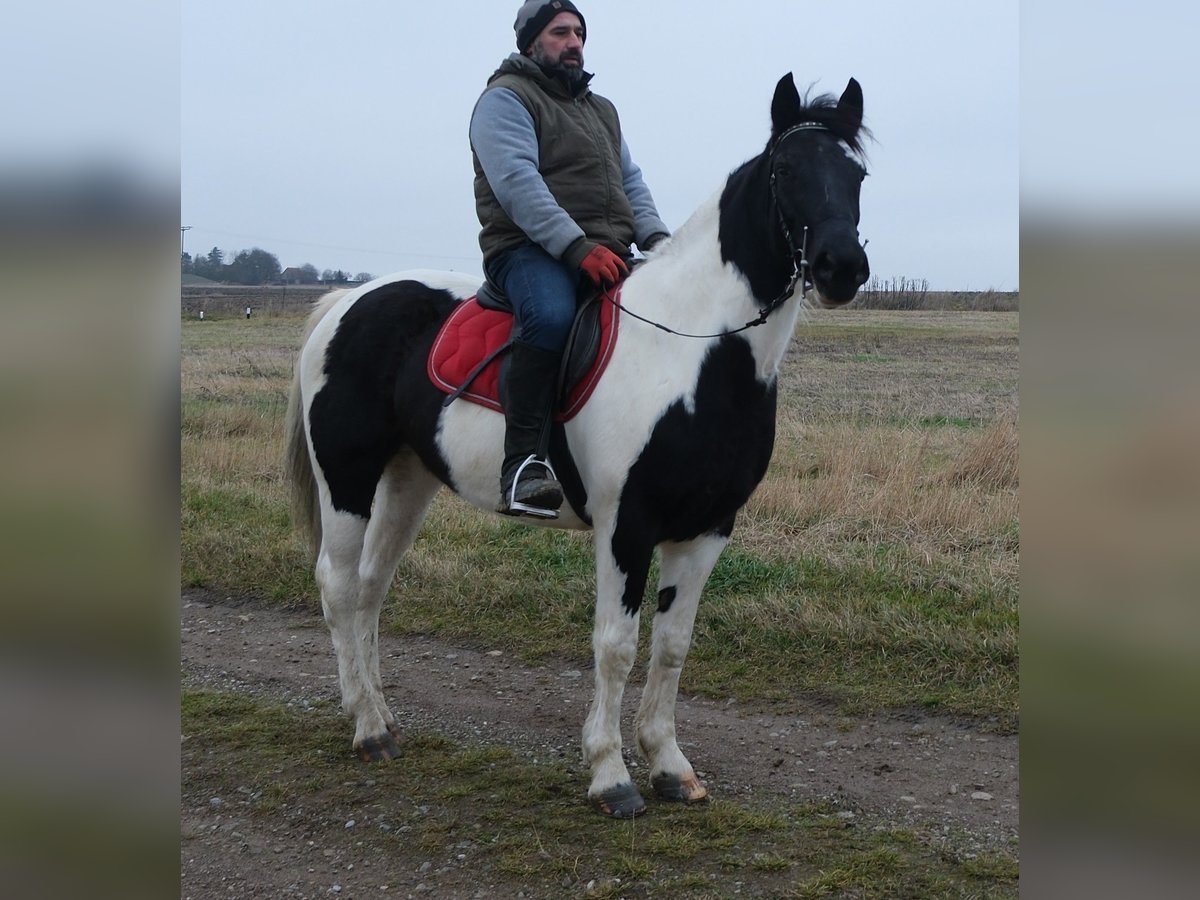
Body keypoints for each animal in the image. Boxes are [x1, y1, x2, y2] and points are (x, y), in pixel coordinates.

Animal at [284, 73, 870, 818]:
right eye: (787, 169)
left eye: (857, 174)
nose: (842, 267)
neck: (695, 349)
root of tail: (345, 301)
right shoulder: (627, 524)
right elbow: (616, 645)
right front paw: (611, 775)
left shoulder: (710, 526)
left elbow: (673, 646)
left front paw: (671, 766)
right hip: (347, 478)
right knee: (337, 586)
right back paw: (365, 727)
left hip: (408, 479)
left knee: (369, 587)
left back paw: (383, 719)